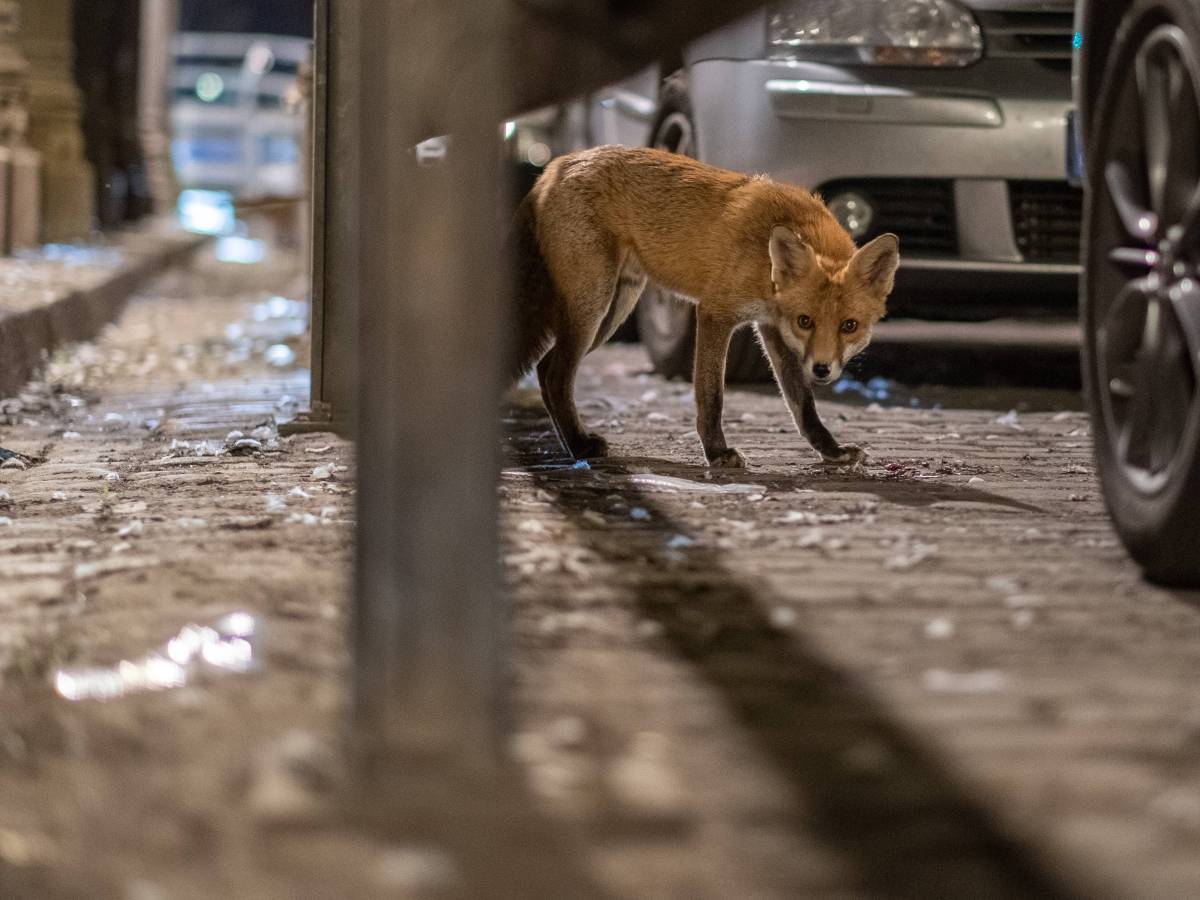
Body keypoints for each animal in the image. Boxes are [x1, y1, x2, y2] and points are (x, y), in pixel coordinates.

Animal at [511, 144, 897, 468]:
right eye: (806, 321)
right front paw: (716, 452)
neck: (767, 267)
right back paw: (578, 446)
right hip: (593, 307)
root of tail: (556, 165)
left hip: (613, 311)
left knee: (545, 368)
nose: (821, 370)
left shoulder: (773, 327)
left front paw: (831, 451)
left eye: (849, 326)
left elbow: (803, 406)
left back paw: (571, 443)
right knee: (556, 374)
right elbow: (711, 395)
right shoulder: (715, 313)